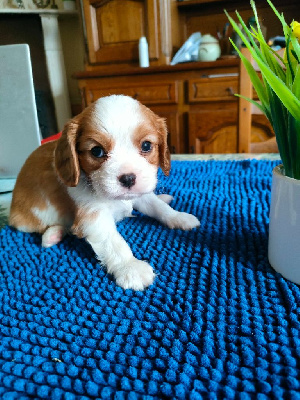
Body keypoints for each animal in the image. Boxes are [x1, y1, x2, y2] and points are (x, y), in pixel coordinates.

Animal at [9, 95, 199, 290]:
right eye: (97, 151)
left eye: (146, 145)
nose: (128, 178)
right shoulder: (93, 215)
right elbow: (113, 242)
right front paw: (130, 267)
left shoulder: (141, 194)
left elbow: (158, 207)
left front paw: (178, 217)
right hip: (26, 221)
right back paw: (53, 234)